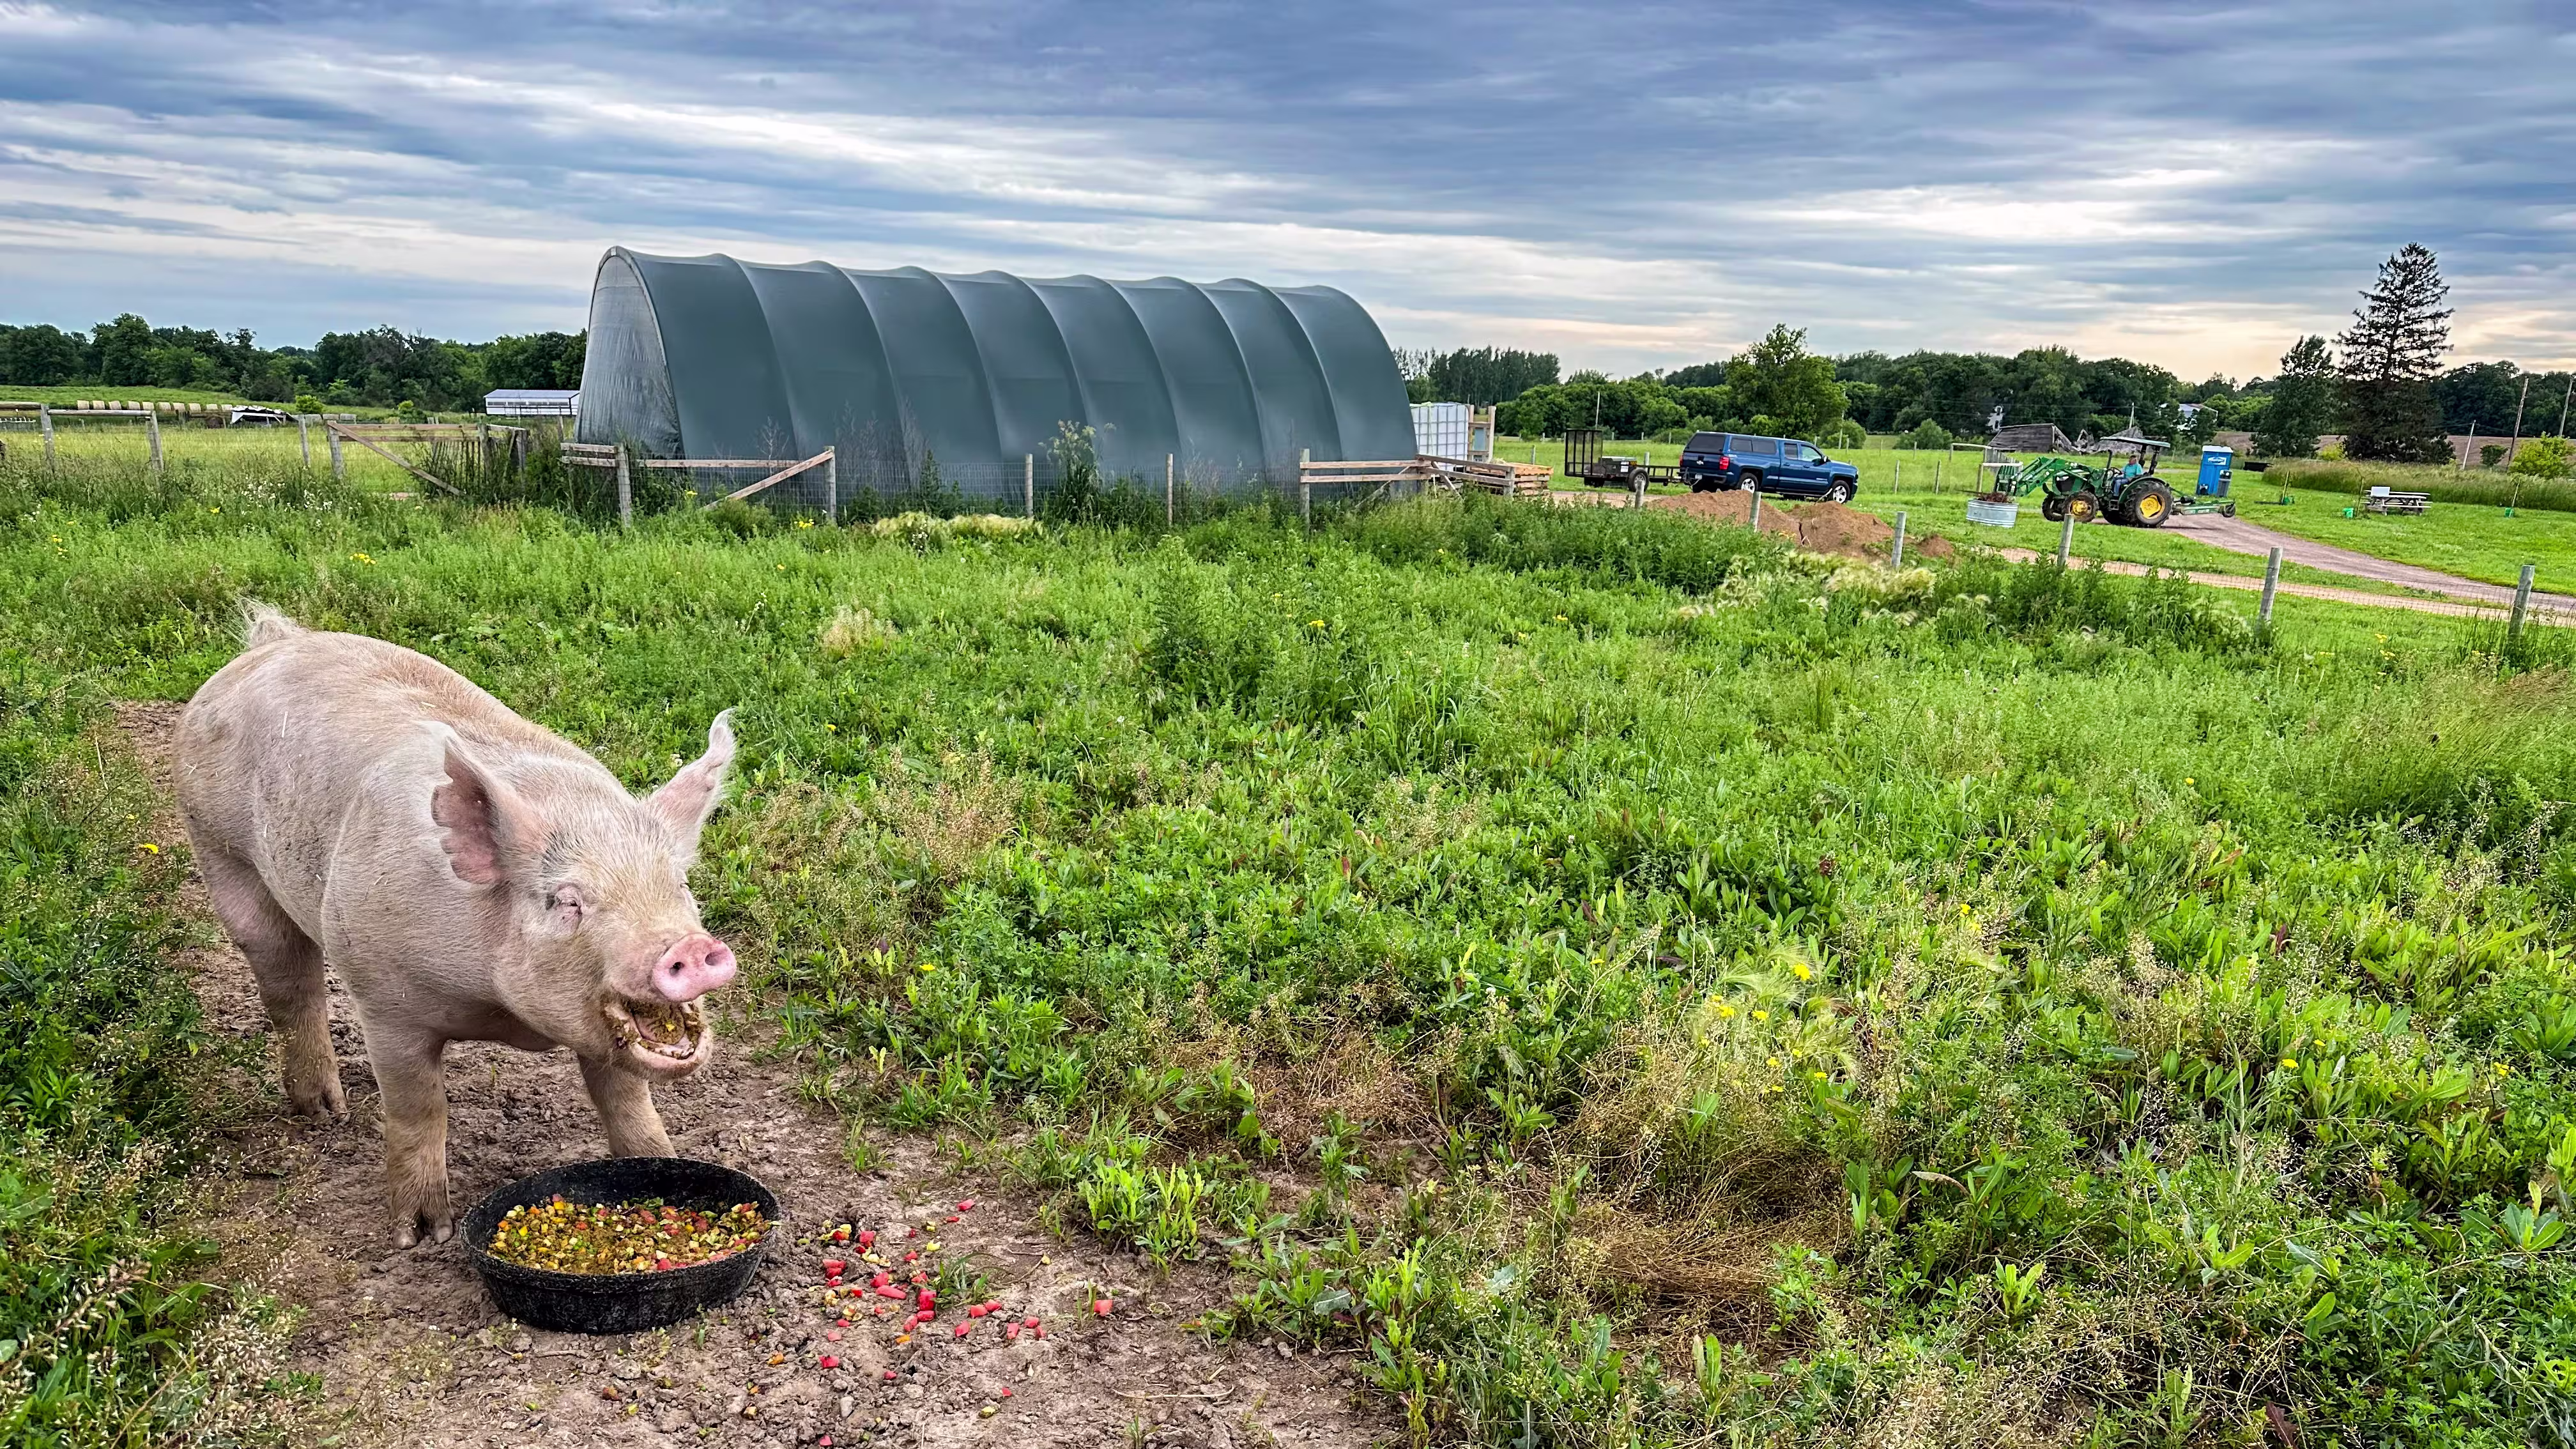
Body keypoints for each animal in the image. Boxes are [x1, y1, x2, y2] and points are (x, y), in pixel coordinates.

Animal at [175, 603, 740, 1247]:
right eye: (567, 901)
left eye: (680, 886)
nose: (690, 947)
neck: (500, 1012)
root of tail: (269, 644)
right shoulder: (384, 999)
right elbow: (418, 1108)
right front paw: (423, 1236)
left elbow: (626, 1100)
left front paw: (663, 1165)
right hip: (216, 844)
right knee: (289, 982)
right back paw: (325, 1112)